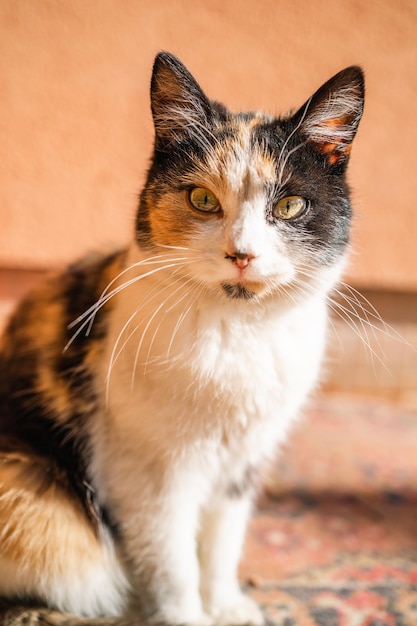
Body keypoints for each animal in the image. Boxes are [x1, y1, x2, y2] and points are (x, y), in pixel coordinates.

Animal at [0, 52, 362, 624]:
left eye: (289, 207)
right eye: (201, 198)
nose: (242, 253)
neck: (238, 336)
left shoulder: (242, 463)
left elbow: (220, 545)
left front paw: (228, 607)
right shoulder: (150, 477)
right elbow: (173, 564)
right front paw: (189, 616)